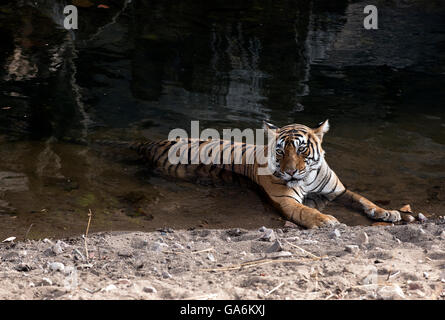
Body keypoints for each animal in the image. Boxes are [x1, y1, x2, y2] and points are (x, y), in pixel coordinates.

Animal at [134, 119, 400, 228]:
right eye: (280, 151)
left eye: (302, 149)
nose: (291, 172)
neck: (308, 178)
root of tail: (149, 144)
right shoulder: (287, 201)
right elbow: (307, 211)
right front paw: (326, 220)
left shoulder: (338, 191)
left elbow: (363, 199)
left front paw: (387, 212)